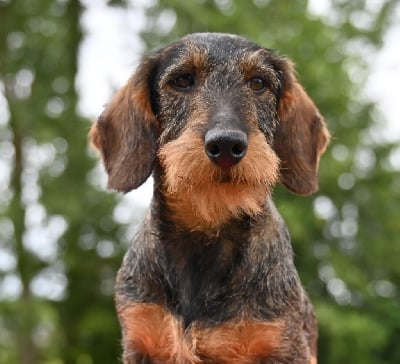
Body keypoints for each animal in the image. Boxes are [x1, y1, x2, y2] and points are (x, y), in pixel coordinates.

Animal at [90, 32, 332, 362]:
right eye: (182, 80)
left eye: (258, 83)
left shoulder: (283, 343)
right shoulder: (140, 338)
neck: (205, 234)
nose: (227, 145)